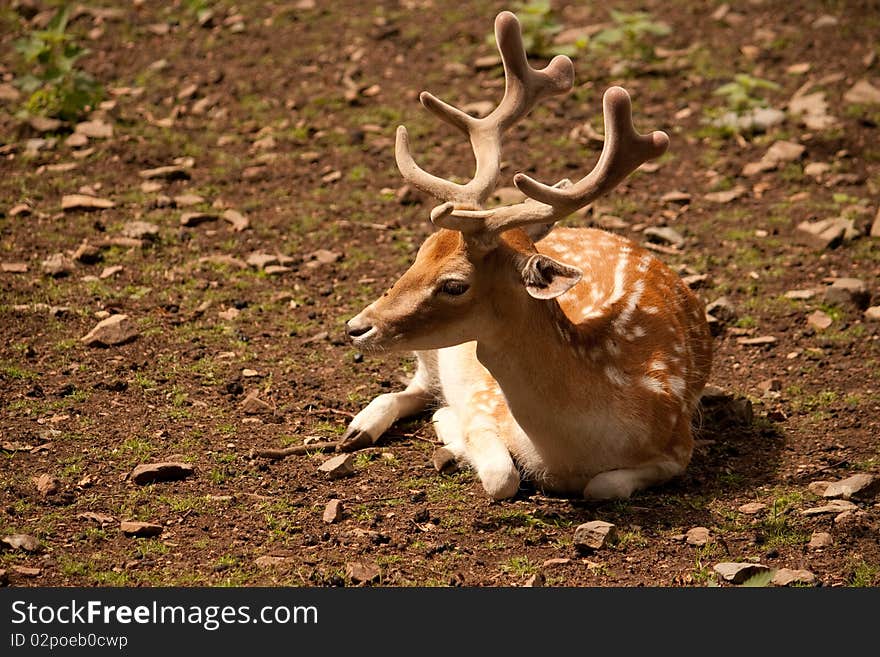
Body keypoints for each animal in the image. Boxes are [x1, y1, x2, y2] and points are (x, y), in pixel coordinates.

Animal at [340, 10, 712, 500]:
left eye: (455, 284)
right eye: (419, 253)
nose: (356, 326)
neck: (570, 453)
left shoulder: (679, 444)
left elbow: (603, 488)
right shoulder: (485, 404)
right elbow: (503, 476)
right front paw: (448, 426)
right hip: (434, 353)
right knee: (413, 386)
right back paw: (359, 428)